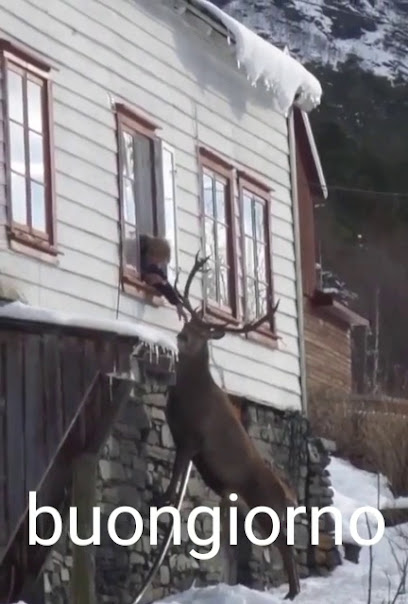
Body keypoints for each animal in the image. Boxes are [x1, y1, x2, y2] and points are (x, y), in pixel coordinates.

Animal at [158, 251, 302, 600]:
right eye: (187, 322)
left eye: (203, 331)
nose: (182, 337)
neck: (189, 394)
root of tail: (290, 495)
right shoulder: (179, 434)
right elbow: (176, 471)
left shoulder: (194, 438)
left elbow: (176, 474)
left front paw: (164, 499)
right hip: (250, 509)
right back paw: (289, 591)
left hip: (266, 507)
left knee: (286, 546)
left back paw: (292, 592)